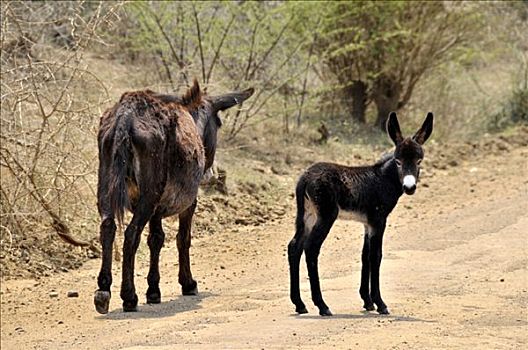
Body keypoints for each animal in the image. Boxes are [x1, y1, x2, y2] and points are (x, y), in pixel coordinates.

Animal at [288, 113, 434, 318]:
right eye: (398, 161)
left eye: (419, 161)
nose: (409, 187)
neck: (384, 179)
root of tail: (305, 177)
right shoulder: (379, 221)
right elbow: (376, 256)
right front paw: (380, 304)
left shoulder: (367, 223)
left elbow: (365, 255)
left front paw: (367, 301)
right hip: (326, 216)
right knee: (311, 248)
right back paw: (322, 306)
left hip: (308, 216)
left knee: (295, 247)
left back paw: (299, 304)